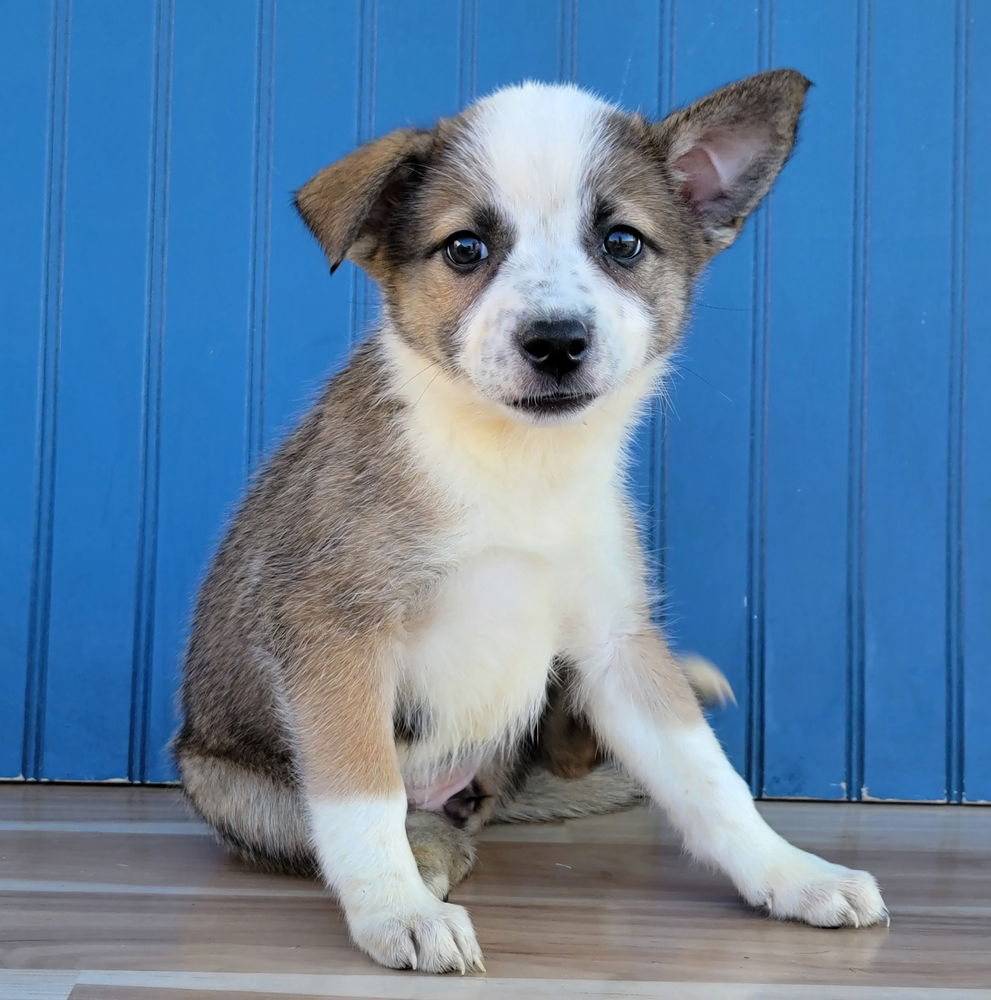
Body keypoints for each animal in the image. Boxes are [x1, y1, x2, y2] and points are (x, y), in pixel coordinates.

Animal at [174, 72, 888, 976]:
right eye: (464, 249)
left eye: (621, 242)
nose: (555, 343)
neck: (518, 463)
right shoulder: (333, 631)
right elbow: (359, 792)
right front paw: (397, 911)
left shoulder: (616, 640)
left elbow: (706, 777)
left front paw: (790, 874)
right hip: (225, 782)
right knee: (357, 820)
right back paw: (428, 850)